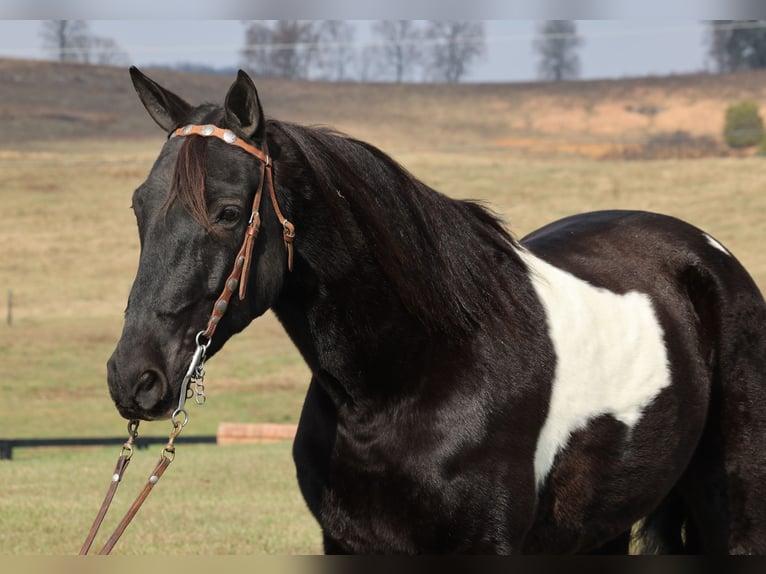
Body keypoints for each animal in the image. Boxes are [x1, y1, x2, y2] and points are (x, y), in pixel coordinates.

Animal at [106, 67, 766, 560]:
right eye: (137, 207)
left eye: (225, 212)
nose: (133, 378)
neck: (413, 377)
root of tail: (705, 254)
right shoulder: (347, 542)